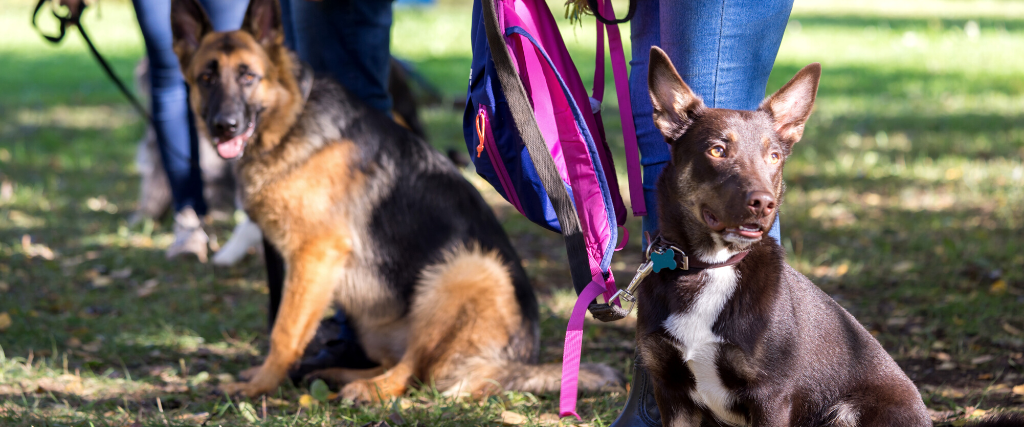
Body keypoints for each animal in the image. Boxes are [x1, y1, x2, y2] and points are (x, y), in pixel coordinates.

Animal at [168, 0, 618, 401]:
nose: (224, 126)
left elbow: (284, 331)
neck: (292, 120)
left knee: (412, 370)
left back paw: (368, 390)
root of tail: (516, 361)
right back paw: (337, 375)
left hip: (465, 271)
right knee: (401, 363)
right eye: (206, 78)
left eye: (248, 76)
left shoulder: (314, 255)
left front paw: (260, 385)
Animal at [634, 47, 933, 425]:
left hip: (848, 410)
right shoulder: (671, 392)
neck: (712, 266)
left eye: (774, 156)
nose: (764, 203)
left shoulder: (771, 395)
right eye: (717, 150)